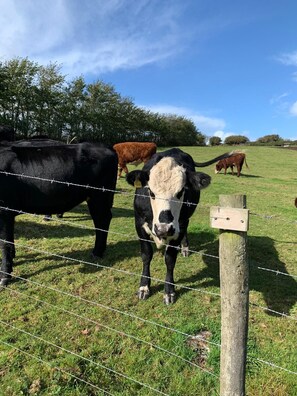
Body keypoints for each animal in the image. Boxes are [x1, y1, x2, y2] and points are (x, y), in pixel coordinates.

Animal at [0, 142, 118, 288]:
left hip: (100, 196)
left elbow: (5, 243)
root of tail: (107, 147)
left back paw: (97, 252)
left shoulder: (4, 210)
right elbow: (9, 242)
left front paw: (5, 275)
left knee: (102, 220)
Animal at [126, 147, 232, 304]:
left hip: (185, 220)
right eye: (150, 191)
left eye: (181, 191)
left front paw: (169, 291)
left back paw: (185, 248)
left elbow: (170, 259)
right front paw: (144, 287)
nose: (163, 229)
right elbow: (146, 255)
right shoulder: (139, 223)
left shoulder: (179, 227)